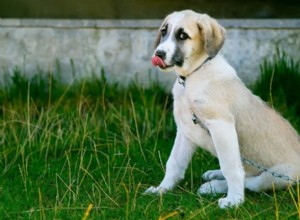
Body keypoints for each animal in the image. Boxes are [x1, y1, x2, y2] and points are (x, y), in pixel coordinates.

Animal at [145, 9, 300, 208]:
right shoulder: (185, 130)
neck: (192, 76)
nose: (159, 54)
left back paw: (213, 187)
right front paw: (162, 189)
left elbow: (231, 168)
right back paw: (213, 174)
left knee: (251, 180)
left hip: (279, 175)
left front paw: (234, 200)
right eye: (164, 31)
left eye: (182, 36)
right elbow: (174, 163)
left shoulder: (221, 125)